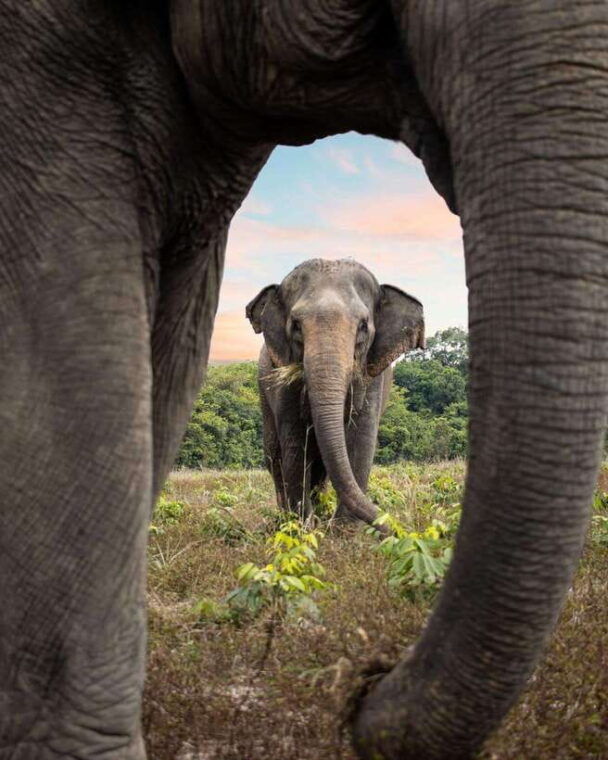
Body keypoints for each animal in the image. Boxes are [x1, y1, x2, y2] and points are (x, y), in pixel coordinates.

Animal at [246, 258, 424, 526]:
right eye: (296, 326)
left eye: (363, 326)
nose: (394, 527)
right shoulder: (284, 384)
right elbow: (295, 443)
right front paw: (304, 527)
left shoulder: (373, 380)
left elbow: (361, 440)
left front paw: (341, 530)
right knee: (275, 455)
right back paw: (286, 518)